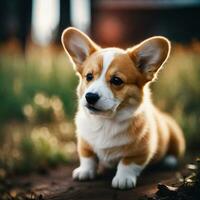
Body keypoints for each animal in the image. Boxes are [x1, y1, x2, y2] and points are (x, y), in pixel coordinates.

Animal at [61, 27, 184, 190]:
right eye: (89, 76)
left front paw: (123, 179)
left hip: (176, 135)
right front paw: (84, 172)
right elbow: (88, 157)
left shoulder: (140, 151)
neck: (105, 122)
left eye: (116, 80)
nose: (90, 97)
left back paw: (169, 161)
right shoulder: (84, 142)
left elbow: (127, 164)